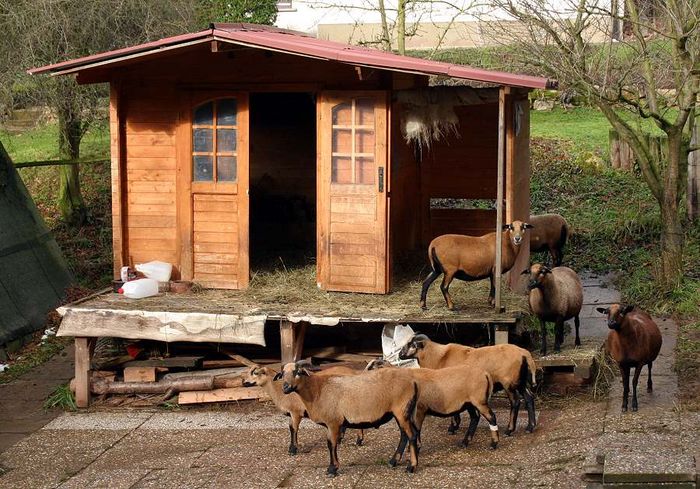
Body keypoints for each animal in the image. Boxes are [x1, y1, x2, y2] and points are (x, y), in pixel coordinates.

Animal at [280, 360, 422, 474]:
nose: (285, 387)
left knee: (411, 435)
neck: (317, 390)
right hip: (402, 412)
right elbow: (330, 443)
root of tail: (413, 382)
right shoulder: (331, 424)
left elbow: (331, 444)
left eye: (297, 372)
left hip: (401, 410)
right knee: (405, 435)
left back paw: (411, 467)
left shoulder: (333, 422)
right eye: (282, 374)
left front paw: (332, 469)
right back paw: (393, 461)